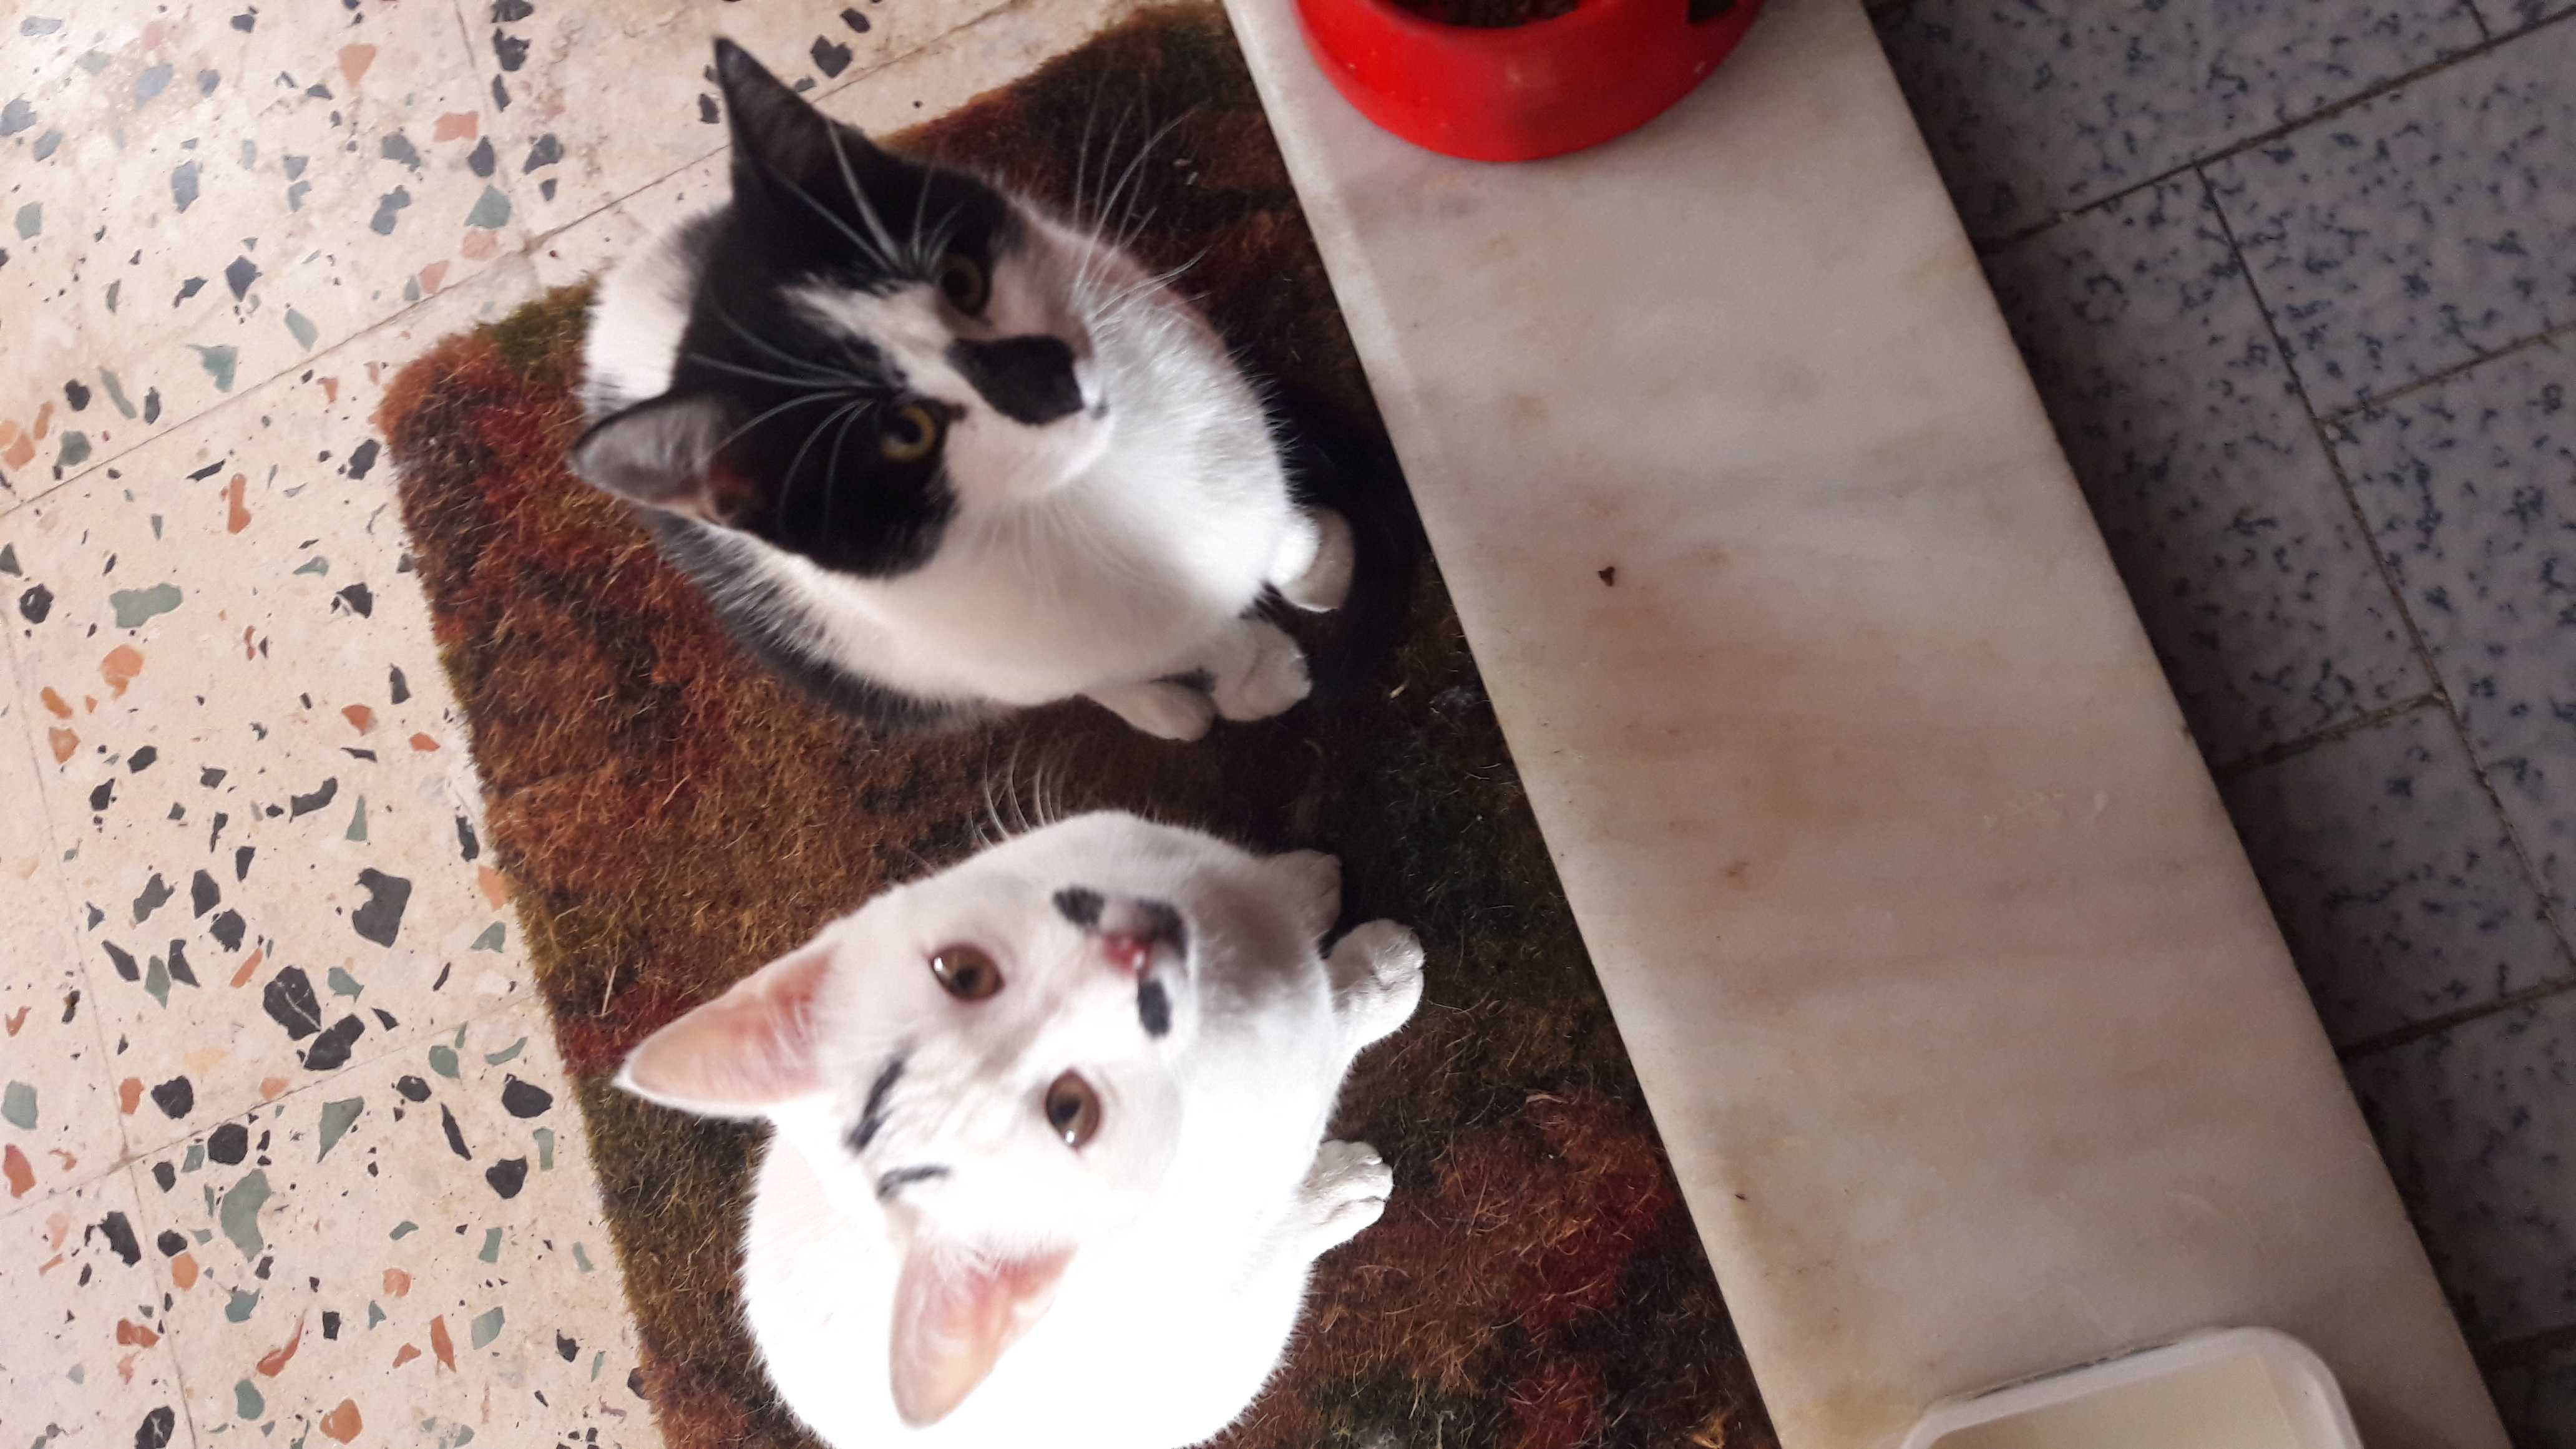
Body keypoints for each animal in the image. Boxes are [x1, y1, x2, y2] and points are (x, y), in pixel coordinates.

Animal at [575, 39, 1365, 741]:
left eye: (962, 280)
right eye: (906, 434)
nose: (1046, 379)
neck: (1093, 477)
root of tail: (613, 308)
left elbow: (1263, 520)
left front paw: (1310, 562)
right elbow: (1176, 639)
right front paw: (1254, 672)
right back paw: (1160, 708)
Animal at [616, 811, 1426, 1446]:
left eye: (963, 973)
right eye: (1072, 1113)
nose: (1128, 955)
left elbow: (1261, 888)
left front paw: (1298, 885)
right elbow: (1334, 1021)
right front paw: (1375, 978)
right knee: (1270, 1249)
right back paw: (1340, 1193)